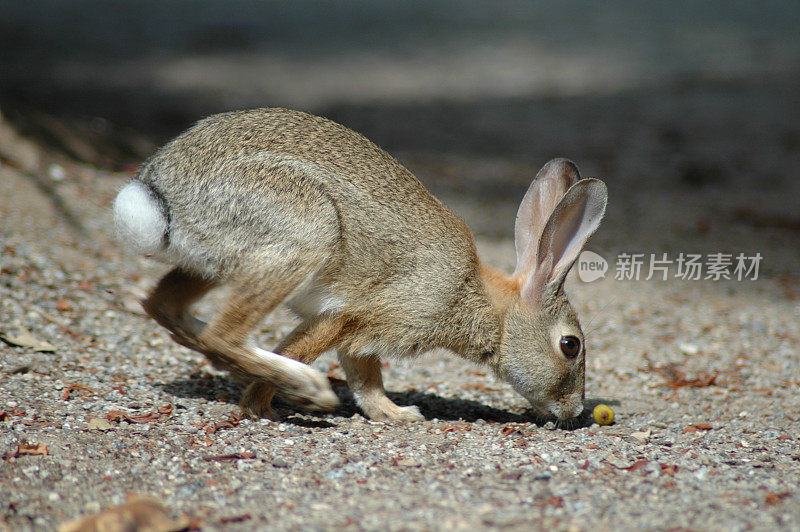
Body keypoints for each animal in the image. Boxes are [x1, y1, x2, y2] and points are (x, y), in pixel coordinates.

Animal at [114, 108, 608, 422]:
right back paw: (303, 388)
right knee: (226, 334)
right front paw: (258, 405)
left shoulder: (362, 338)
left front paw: (396, 415)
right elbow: (313, 350)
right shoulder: (362, 315)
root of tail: (159, 195)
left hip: (214, 264)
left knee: (166, 307)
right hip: (305, 231)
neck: (483, 304)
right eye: (570, 346)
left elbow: (366, 379)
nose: (574, 412)